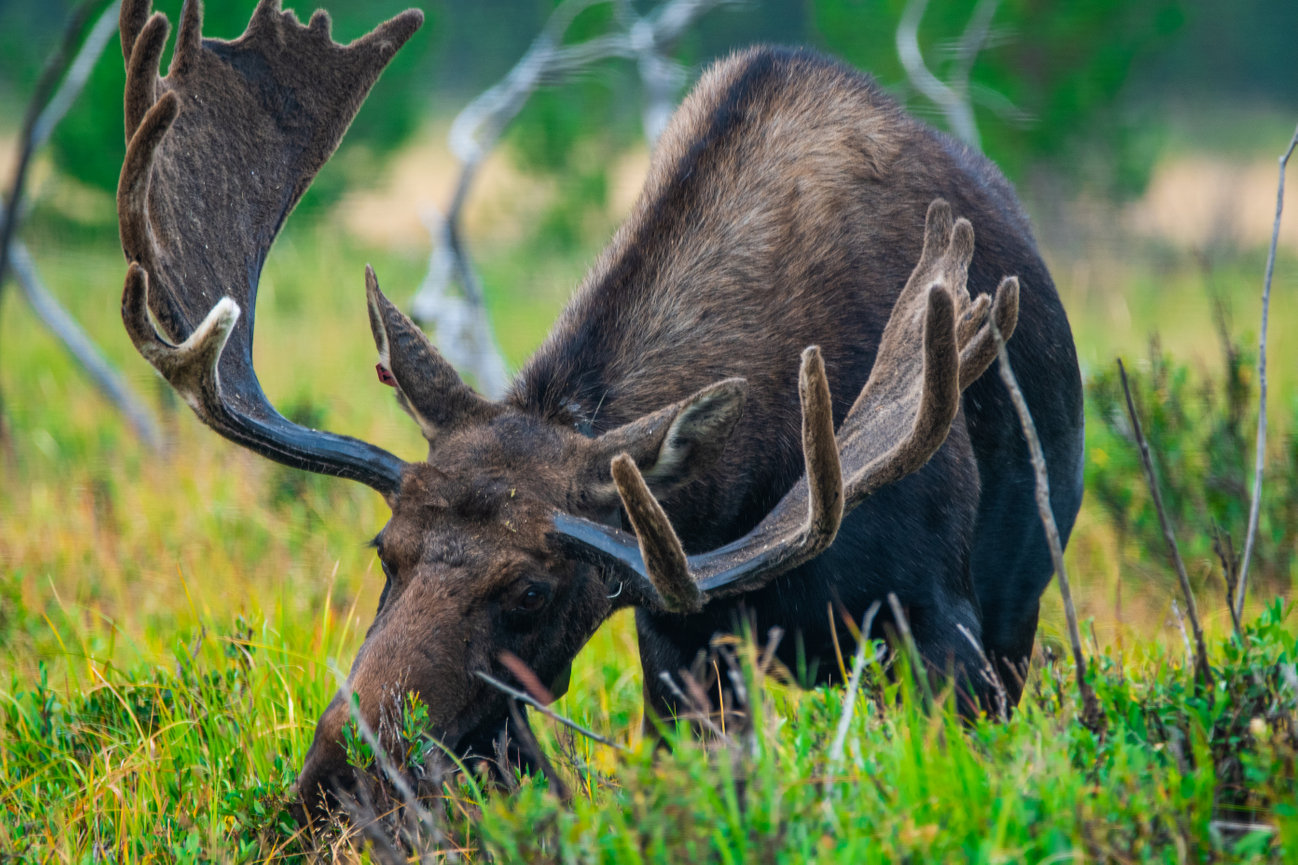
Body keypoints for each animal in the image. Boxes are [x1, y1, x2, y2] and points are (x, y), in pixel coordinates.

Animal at [116, 0, 1084, 820]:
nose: (330, 782)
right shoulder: (678, 640)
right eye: (384, 550)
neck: (744, 497)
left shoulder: (943, 626)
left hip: (1018, 611)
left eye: (532, 588)